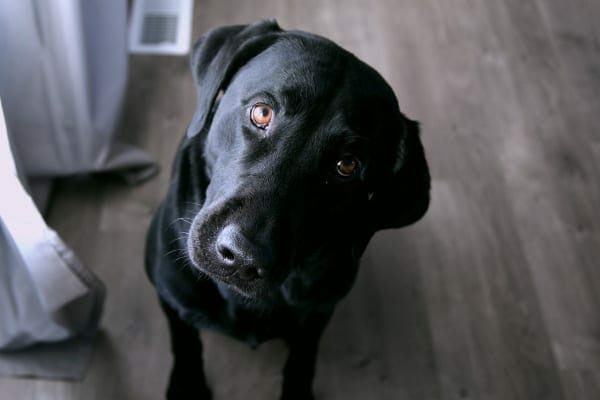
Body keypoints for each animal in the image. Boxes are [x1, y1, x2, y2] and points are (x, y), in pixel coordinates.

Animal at [144, 19, 426, 400]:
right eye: (262, 112)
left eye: (347, 165)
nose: (242, 256)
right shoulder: (170, 294)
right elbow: (185, 337)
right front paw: (188, 385)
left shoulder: (319, 312)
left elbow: (303, 355)